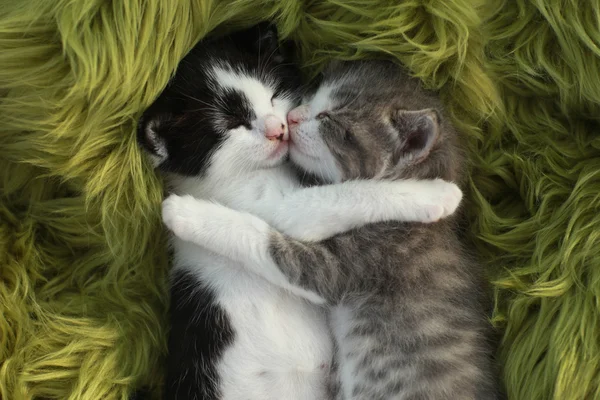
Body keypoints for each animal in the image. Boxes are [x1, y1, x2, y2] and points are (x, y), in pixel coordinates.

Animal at [138, 25, 462, 400]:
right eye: (233, 123)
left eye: (275, 96)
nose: (278, 129)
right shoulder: (264, 205)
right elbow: (342, 195)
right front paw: (435, 193)